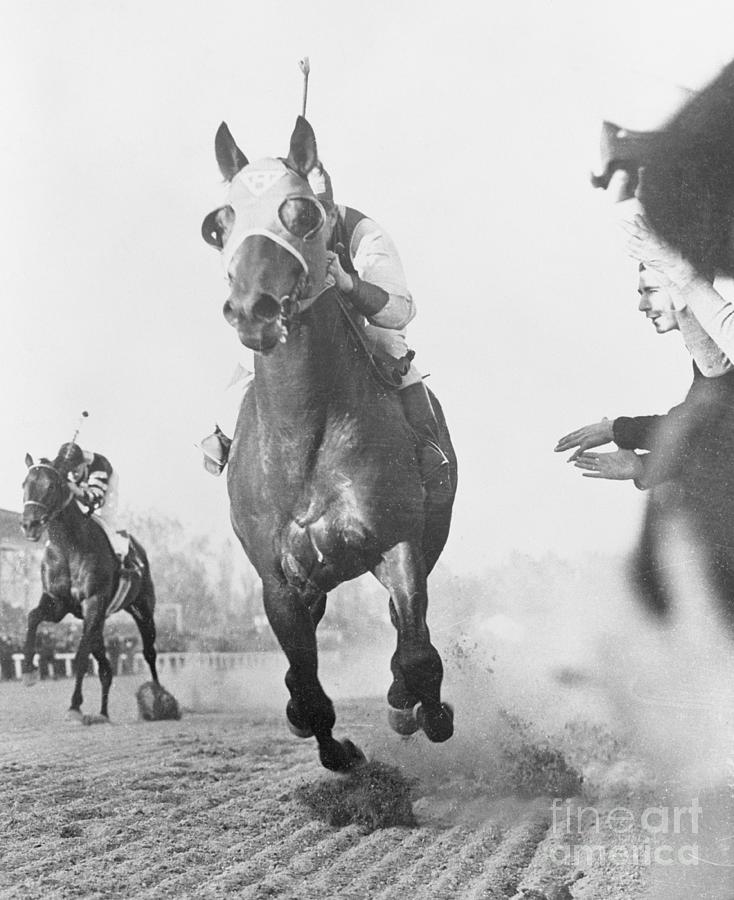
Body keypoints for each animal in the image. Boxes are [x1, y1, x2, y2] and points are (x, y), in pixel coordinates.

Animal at [20, 454, 162, 720]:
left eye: (51, 486)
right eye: (25, 484)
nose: (29, 524)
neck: (68, 547)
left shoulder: (93, 602)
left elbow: (80, 657)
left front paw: (75, 705)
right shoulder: (57, 603)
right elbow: (32, 618)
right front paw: (28, 672)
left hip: (142, 609)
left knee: (149, 653)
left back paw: (159, 699)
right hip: (100, 620)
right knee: (105, 667)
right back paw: (103, 713)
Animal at [200, 116, 454, 768]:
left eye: (303, 213)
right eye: (220, 223)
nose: (253, 309)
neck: (305, 435)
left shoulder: (397, 541)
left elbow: (417, 652)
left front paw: (418, 709)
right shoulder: (278, 579)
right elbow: (308, 686)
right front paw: (333, 746)